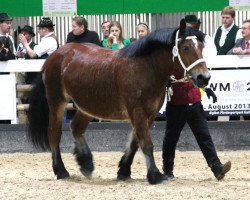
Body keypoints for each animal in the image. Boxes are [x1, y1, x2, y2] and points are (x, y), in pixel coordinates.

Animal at [27, 19, 210, 185]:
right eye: (186, 48)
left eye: (202, 47)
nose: (204, 77)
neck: (146, 67)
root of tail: (56, 55)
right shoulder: (137, 112)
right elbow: (146, 143)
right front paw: (155, 175)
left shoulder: (149, 114)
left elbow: (135, 142)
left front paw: (124, 171)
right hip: (57, 102)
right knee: (54, 133)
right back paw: (61, 171)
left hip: (88, 105)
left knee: (76, 127)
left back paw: (86, 163)